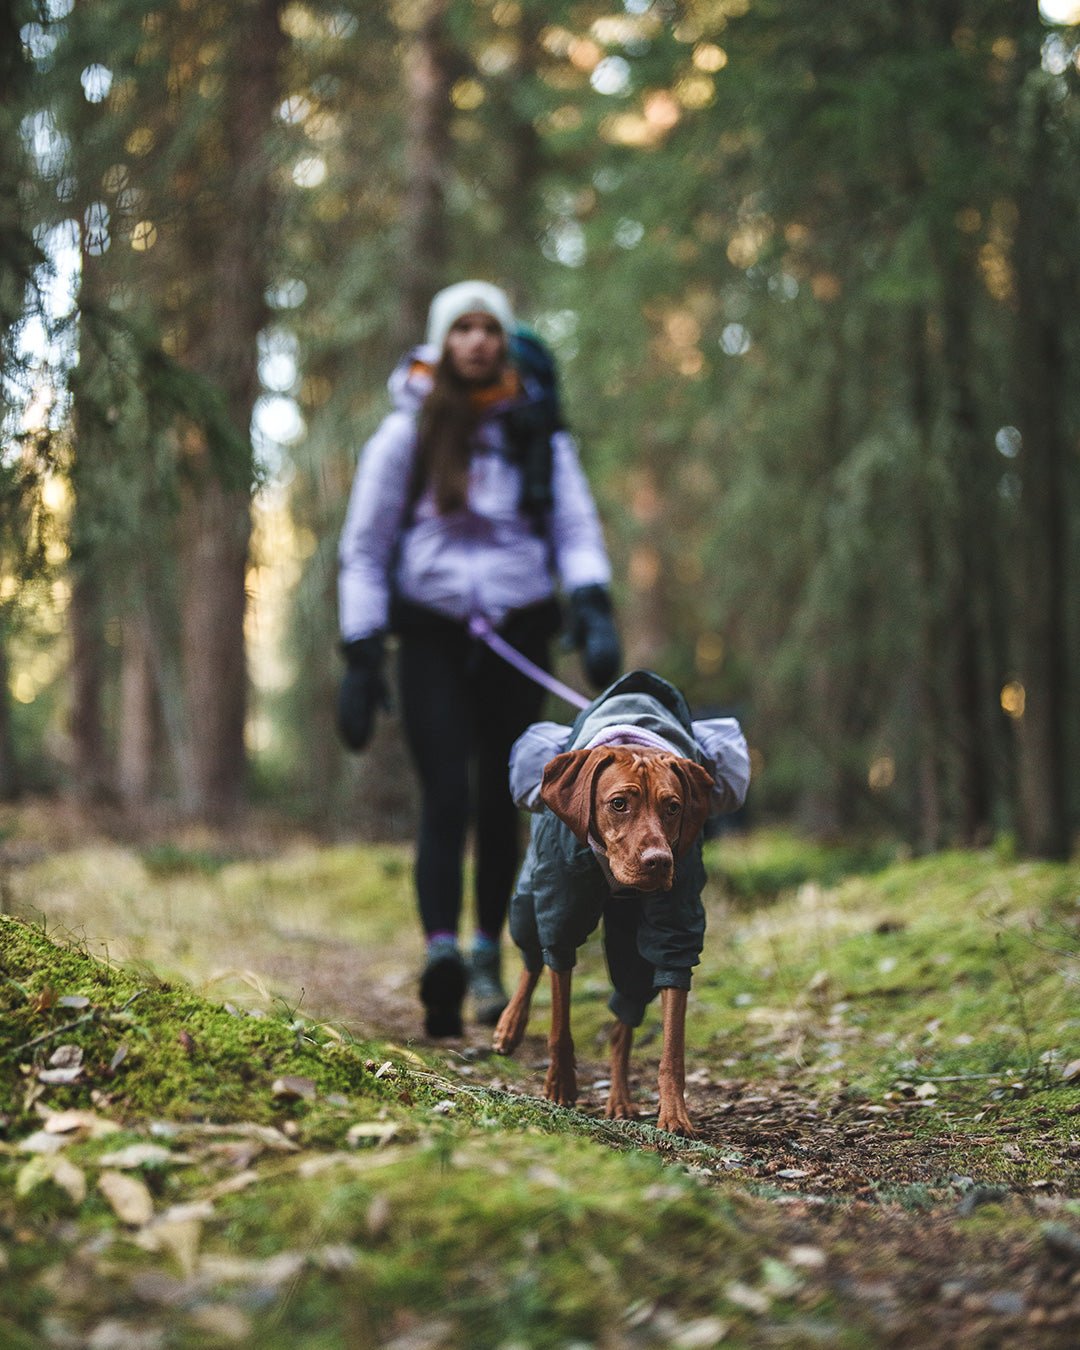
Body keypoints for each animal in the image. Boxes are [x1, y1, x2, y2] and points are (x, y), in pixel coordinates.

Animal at [494, 669, 745, 1134]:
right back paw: (510, 1026)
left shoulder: (675, 927)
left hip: (630, 947)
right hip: (527, 896)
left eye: (673, 807)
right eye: (618, 804)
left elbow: (672, 1043)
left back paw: (621, 1100)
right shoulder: (561, 911)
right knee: (531, 954)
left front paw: (674, 1112)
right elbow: (559, 1019)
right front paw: (559, 1085)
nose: (660, 862)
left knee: (622, 1018)